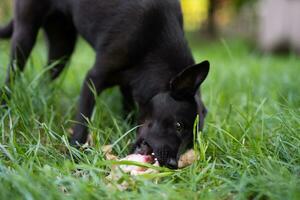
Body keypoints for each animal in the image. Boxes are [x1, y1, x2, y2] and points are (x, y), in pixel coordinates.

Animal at [0, 0, 210, 169]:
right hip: (26, 34)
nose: (173, 165)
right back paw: (6, 106)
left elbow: (129, 113)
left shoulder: (129, 88)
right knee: (12, 74)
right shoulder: (93, 79)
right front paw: (74, 156)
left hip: (62, 48)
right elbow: (82, 123)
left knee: (46, 77)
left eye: (191, 142)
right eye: (178, 125)